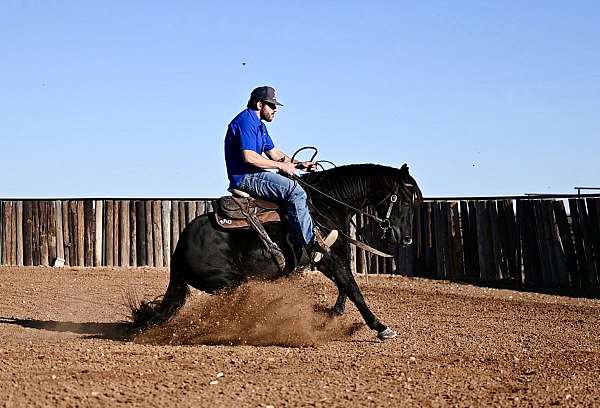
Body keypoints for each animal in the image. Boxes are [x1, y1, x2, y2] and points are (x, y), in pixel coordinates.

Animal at [131, 164, 422, 340]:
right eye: (405, 200)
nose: (406, 238)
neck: (325, 205)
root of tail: (179, 250)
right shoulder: (327, 256)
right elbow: (353, 288)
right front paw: (381, 327)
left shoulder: (325, 258)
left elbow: (344, 285)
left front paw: (334, 313)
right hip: (231, 282)